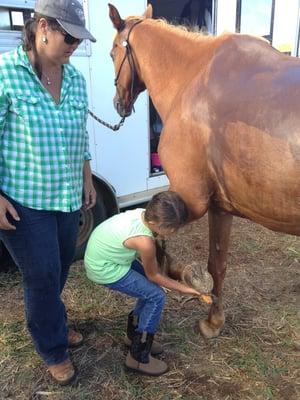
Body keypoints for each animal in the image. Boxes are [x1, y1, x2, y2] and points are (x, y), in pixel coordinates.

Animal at [108, 4, 300, 340]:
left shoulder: (193, 198)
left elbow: (158, 234)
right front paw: (214, 319)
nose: (119, 104)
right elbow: (217, 264)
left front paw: (184, 275)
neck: (193, 77)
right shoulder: (220, 206)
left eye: (111, 54)